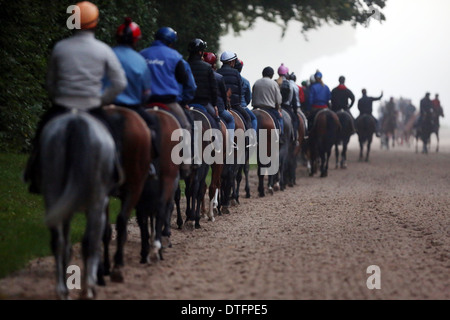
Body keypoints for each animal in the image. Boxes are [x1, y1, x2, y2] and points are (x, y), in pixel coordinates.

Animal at [39, 110, 122, 300]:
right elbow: (97, 238)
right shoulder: (100, 206)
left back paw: (63, 291)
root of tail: (75, 123)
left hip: (53, 194)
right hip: (95, 203)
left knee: (58, 241)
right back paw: (87, 288)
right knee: (89, 240)